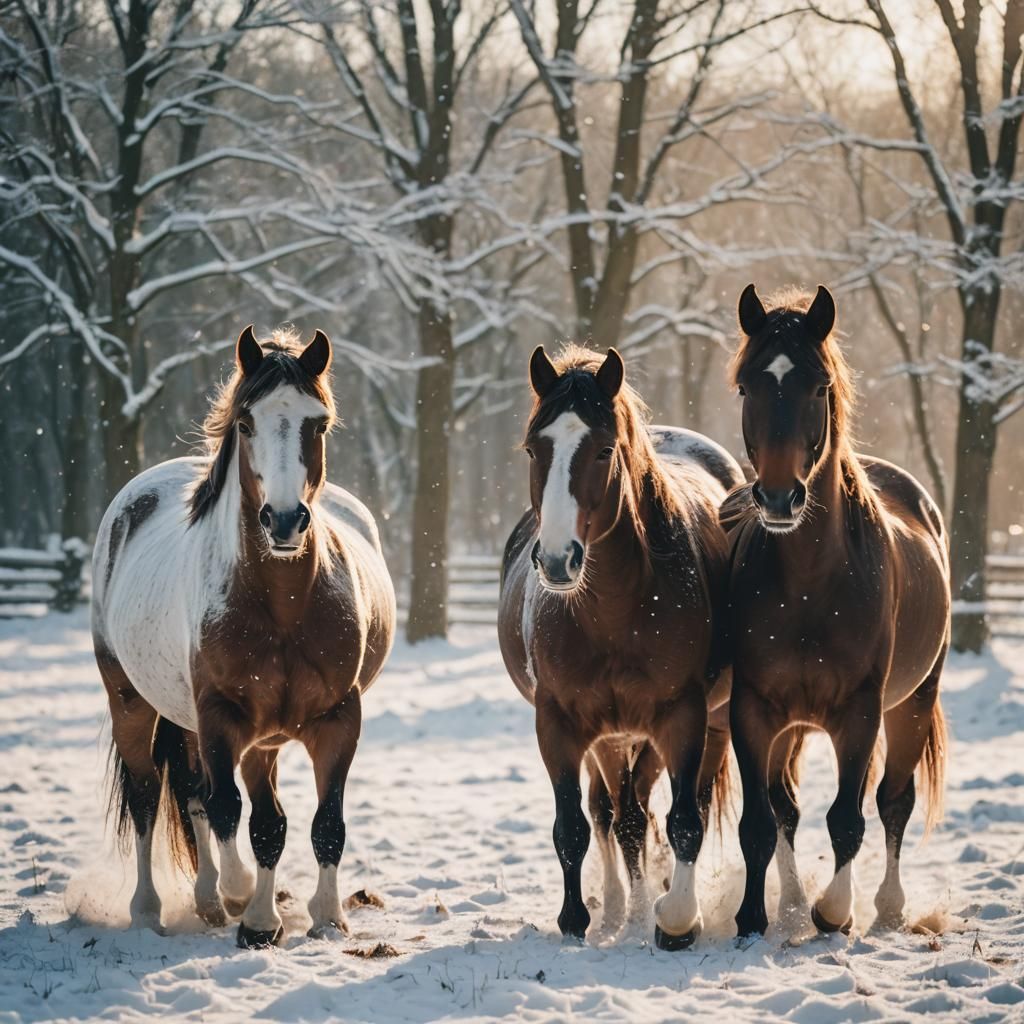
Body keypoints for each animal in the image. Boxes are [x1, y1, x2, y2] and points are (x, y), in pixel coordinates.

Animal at [92, 326, 396, 948]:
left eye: (317, 423)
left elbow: (319, 823)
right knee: (152, 798)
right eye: (247, 422)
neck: (281, 605)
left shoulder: (338, 720)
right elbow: (228, 809)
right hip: (132, 701)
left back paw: (216, 904)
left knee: (217, 802)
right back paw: (153, 909)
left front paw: (318, 917)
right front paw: (242, 900)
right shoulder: (219, 716)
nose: (283, 521)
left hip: (251, 735)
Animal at [497, 344, 744, 949]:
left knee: (658, 810)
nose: (557, 560)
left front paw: (676, 919)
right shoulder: (559, 723)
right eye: (534, 447)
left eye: (605, 449)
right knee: (612, 814)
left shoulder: (682, 719)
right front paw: (577, 920)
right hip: (609, 739)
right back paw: (617, 909)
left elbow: (684, 822)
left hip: (695, 727)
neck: (610, 610)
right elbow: (573, 827)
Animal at [721, 284, 949, 938]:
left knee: (894, 801)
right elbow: (761, 821)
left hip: (913, 700)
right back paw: (793, 904)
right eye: (746, 387)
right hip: (794, 725)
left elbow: (849, 817)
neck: (808, 587)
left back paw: (888, 908)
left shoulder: (860, 711)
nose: (778, 498)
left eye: (818, 387)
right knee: (787, 808)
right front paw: (755, 917)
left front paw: (835, 912)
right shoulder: (754, 711)